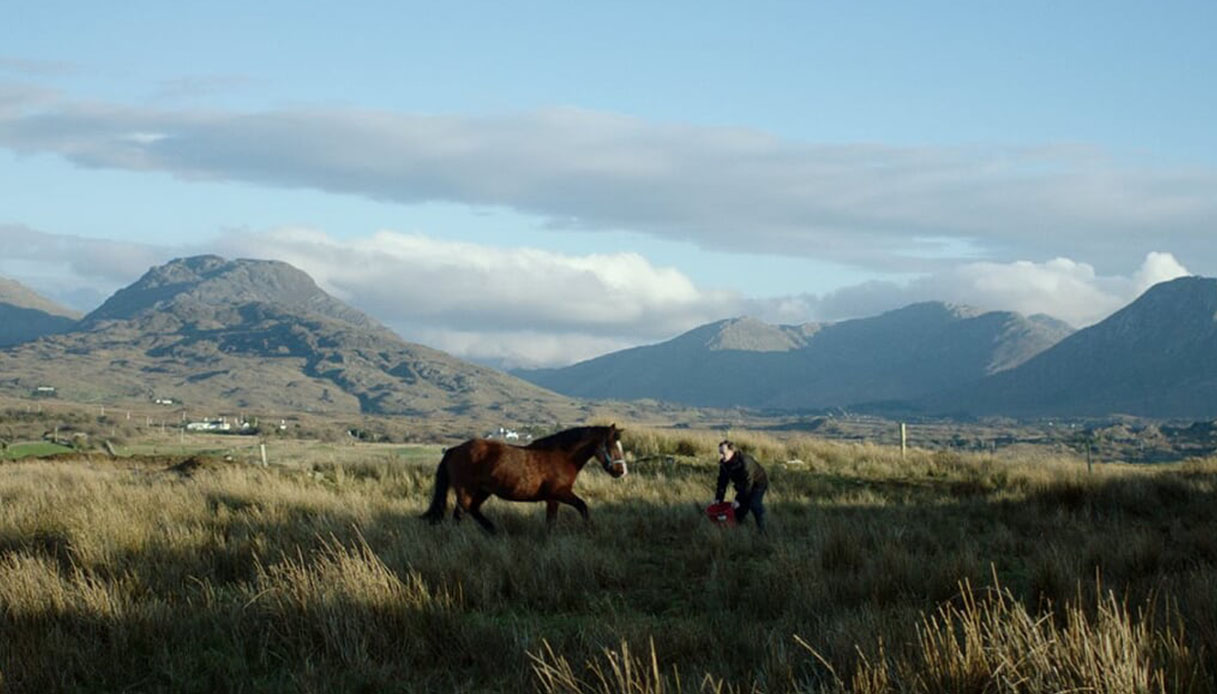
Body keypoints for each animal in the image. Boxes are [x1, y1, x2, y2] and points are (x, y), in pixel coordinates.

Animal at [421, 421, 627, 528]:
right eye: (611, 445)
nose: (621, 471)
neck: (561, 456)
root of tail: (454, 449)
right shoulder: (559, 493)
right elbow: (582, 507)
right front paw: (589, 529)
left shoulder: (553, 499)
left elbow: (551, 521)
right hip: (466, 490)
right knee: (459, 514)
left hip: (483, 491)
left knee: (473, 510)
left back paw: (493, 532)